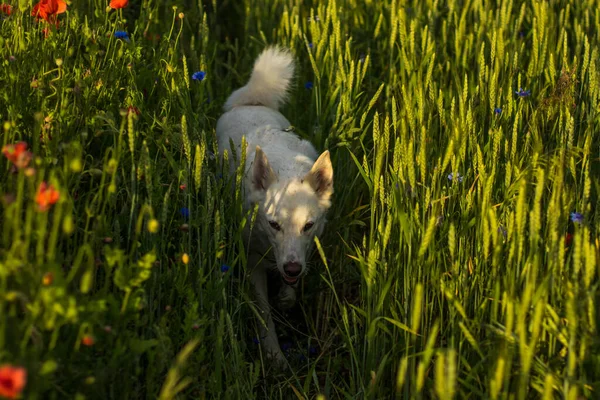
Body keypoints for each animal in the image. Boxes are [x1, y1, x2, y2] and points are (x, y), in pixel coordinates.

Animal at [217, 47, 332, 366]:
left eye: (308, 225)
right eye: (273, 224)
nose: (291, 268)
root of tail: (252, 101)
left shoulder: (305, 247)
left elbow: (289, 289)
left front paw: (286, 297)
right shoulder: (252, 260)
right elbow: (263, 314)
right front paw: (274, 354)